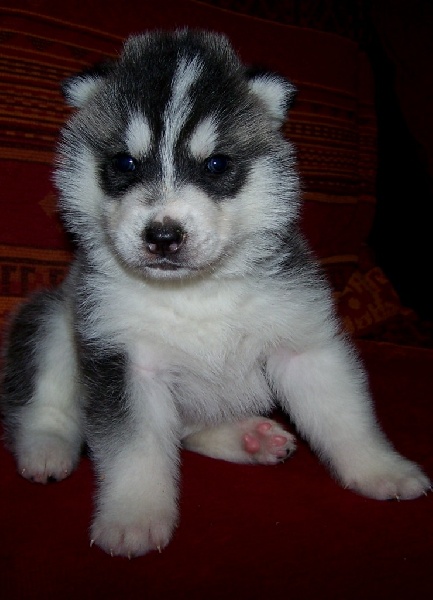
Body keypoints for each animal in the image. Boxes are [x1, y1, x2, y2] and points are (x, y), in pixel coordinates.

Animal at [1, 29, 430, 558]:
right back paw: (46, 447)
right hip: (55, 315)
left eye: (216, 164)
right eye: (124, 162)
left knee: (188, 431)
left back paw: (248, 438)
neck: (194, 293)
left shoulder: (302, 341)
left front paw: (380, 469)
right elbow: (135, 449)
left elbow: (344, 416)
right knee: (46, 397)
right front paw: (133, 517)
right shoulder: (123, 360)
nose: (163, 236)